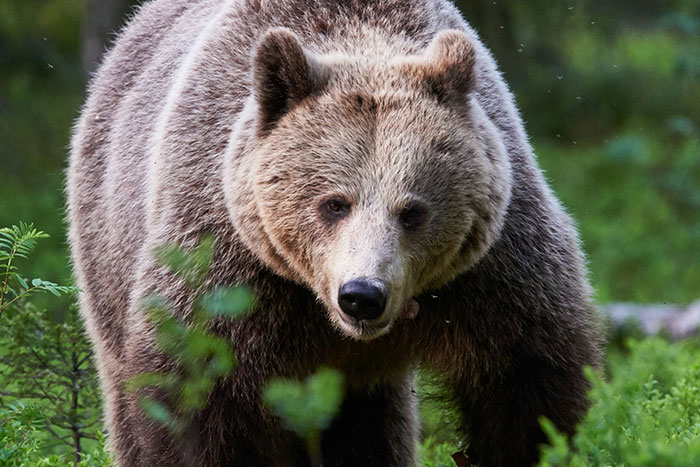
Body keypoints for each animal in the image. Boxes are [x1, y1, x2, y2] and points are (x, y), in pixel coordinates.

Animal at [67, 0, 602, 465]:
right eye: (333, 203)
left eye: (412, 211)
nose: (362, 295)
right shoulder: (227, 264)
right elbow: (195, 396)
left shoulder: (493, 272)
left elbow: (529, 385)